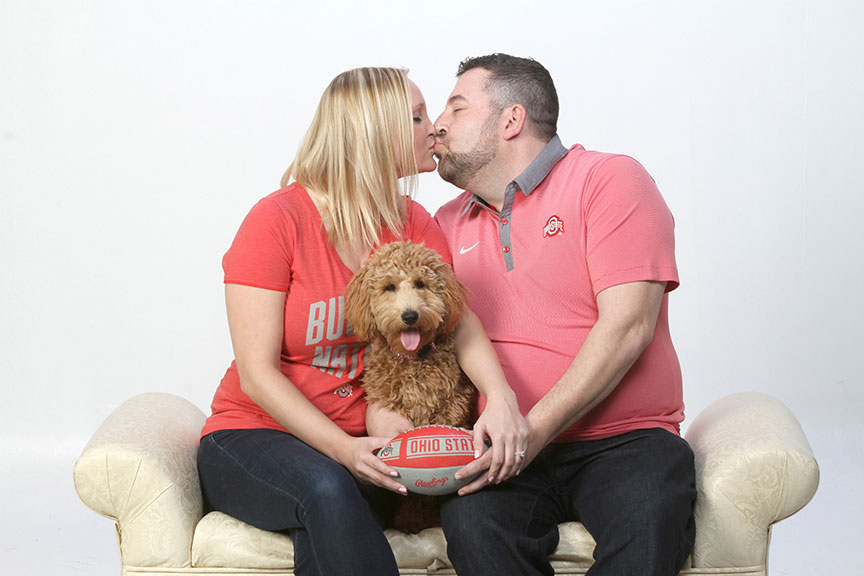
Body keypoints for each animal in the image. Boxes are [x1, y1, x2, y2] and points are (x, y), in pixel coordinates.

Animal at [344, 241, 476, 532]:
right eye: (389, 287)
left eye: (421, 283)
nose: (410, 315)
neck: (412, 359)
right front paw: (410, 519)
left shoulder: (452, 407)